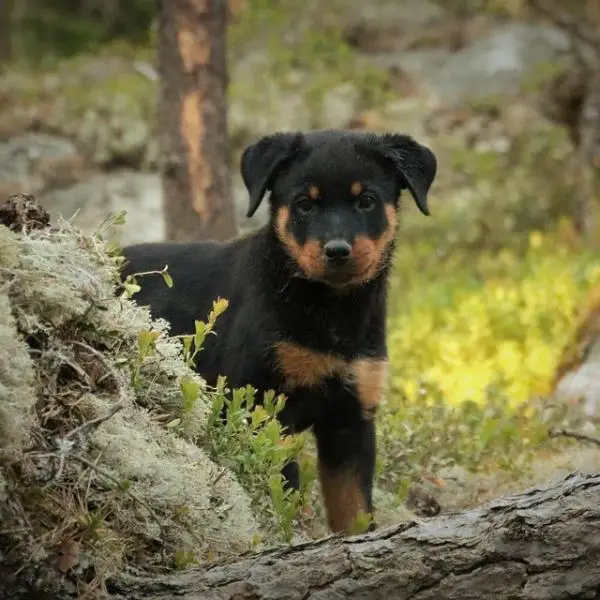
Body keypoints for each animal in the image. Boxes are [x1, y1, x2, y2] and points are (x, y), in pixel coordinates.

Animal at [119, 129, 438, 532]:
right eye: (304, 205)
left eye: (366, 201)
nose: (337, 251)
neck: (330, 311)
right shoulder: (261, 407)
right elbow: (279, 494)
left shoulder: (350, 421)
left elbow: (353, 510)